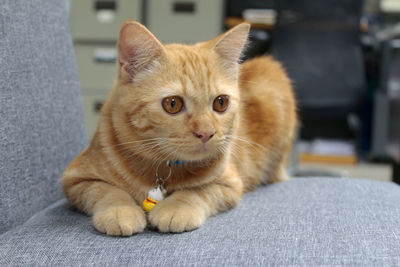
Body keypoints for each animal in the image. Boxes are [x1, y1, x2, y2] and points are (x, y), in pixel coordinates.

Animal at [61, 20, 296, 237]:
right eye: (172, 104)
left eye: (221, 102)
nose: (206, 133)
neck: (163, 167)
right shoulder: (75, 179)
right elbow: (106, 190)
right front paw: (120, 211)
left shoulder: (229, 183)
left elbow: (197, 191)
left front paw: (176, 207)